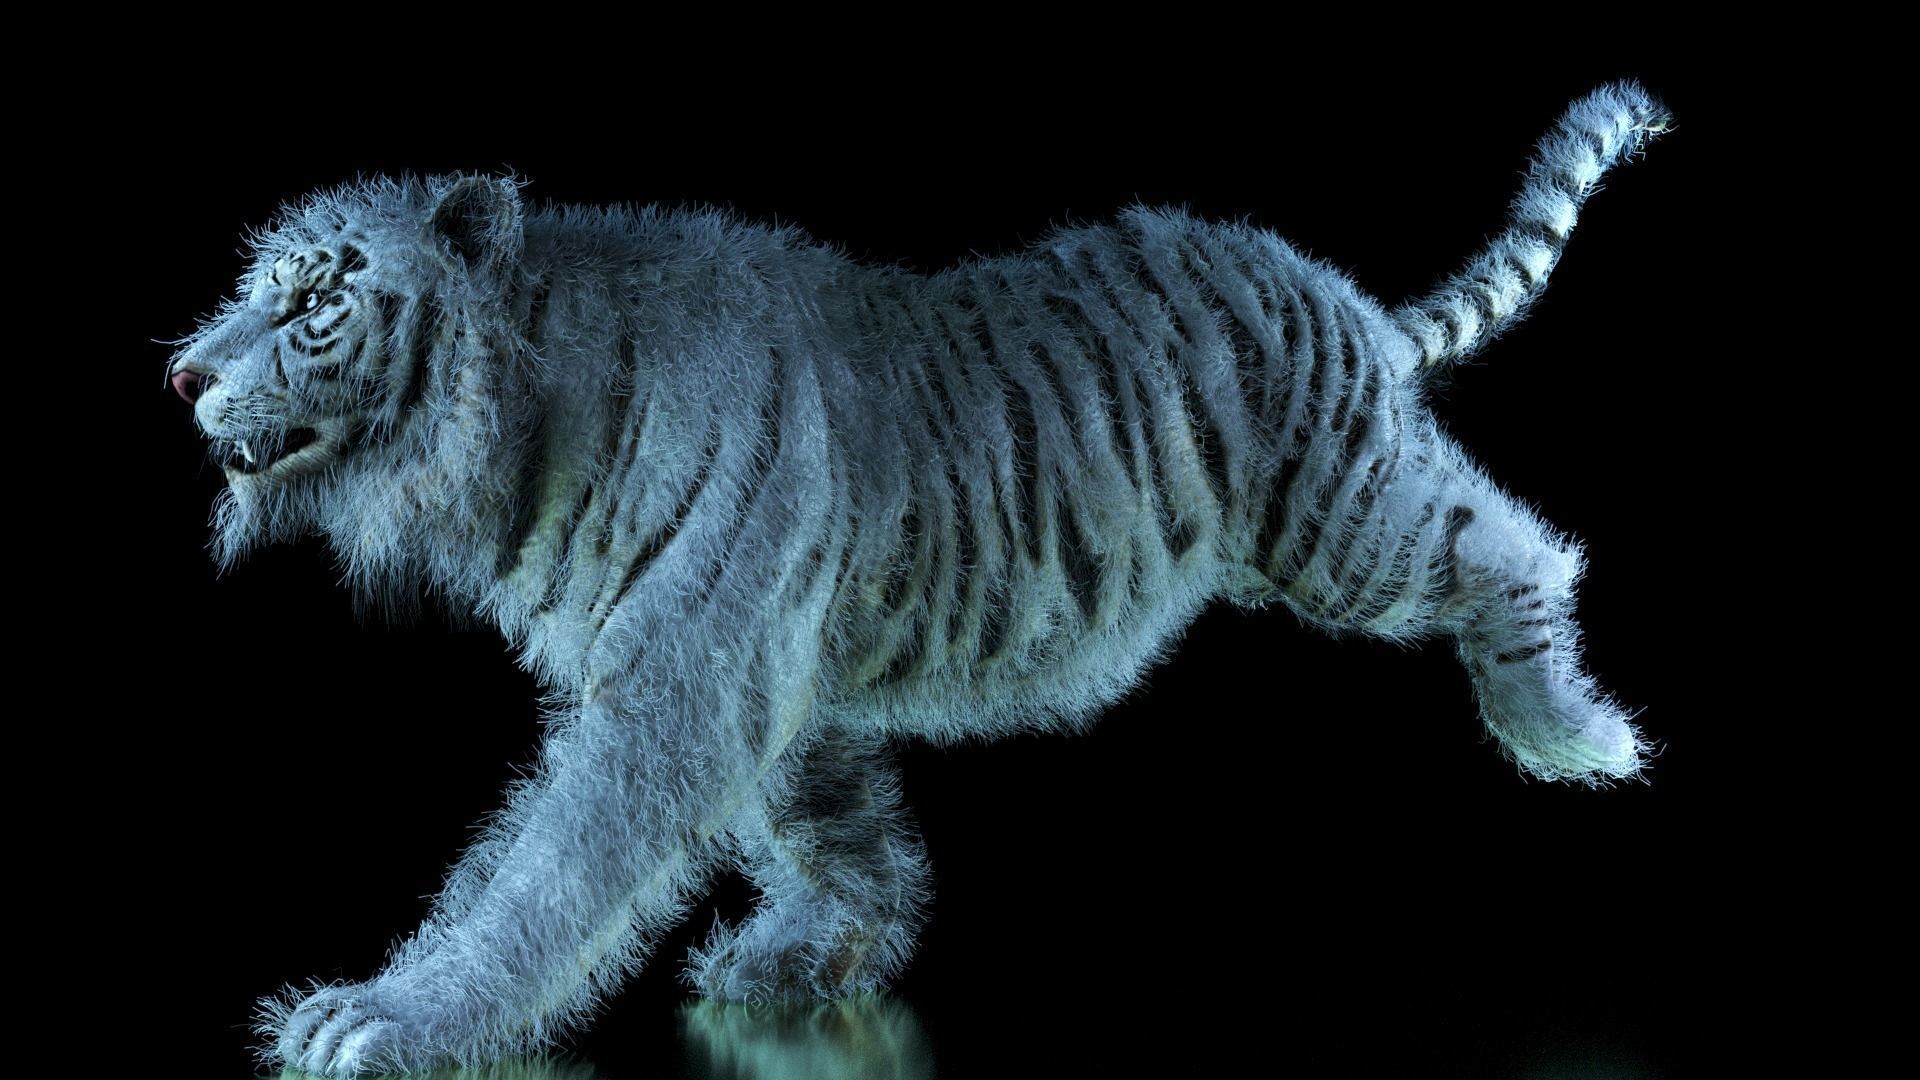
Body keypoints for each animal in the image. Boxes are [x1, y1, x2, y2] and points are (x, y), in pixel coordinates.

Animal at [166, 81, 1669, 1076]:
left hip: (1348, 523)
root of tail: (1334, 290)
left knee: (1518, 546)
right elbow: (841, 836)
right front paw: (796, 963)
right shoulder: (769, 676)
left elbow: (545, 874)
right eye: (252, 288)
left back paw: (1572, 735)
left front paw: (389, 1016)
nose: (181, 374)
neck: (516, 431)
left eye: (314, 302)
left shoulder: (680, 684)